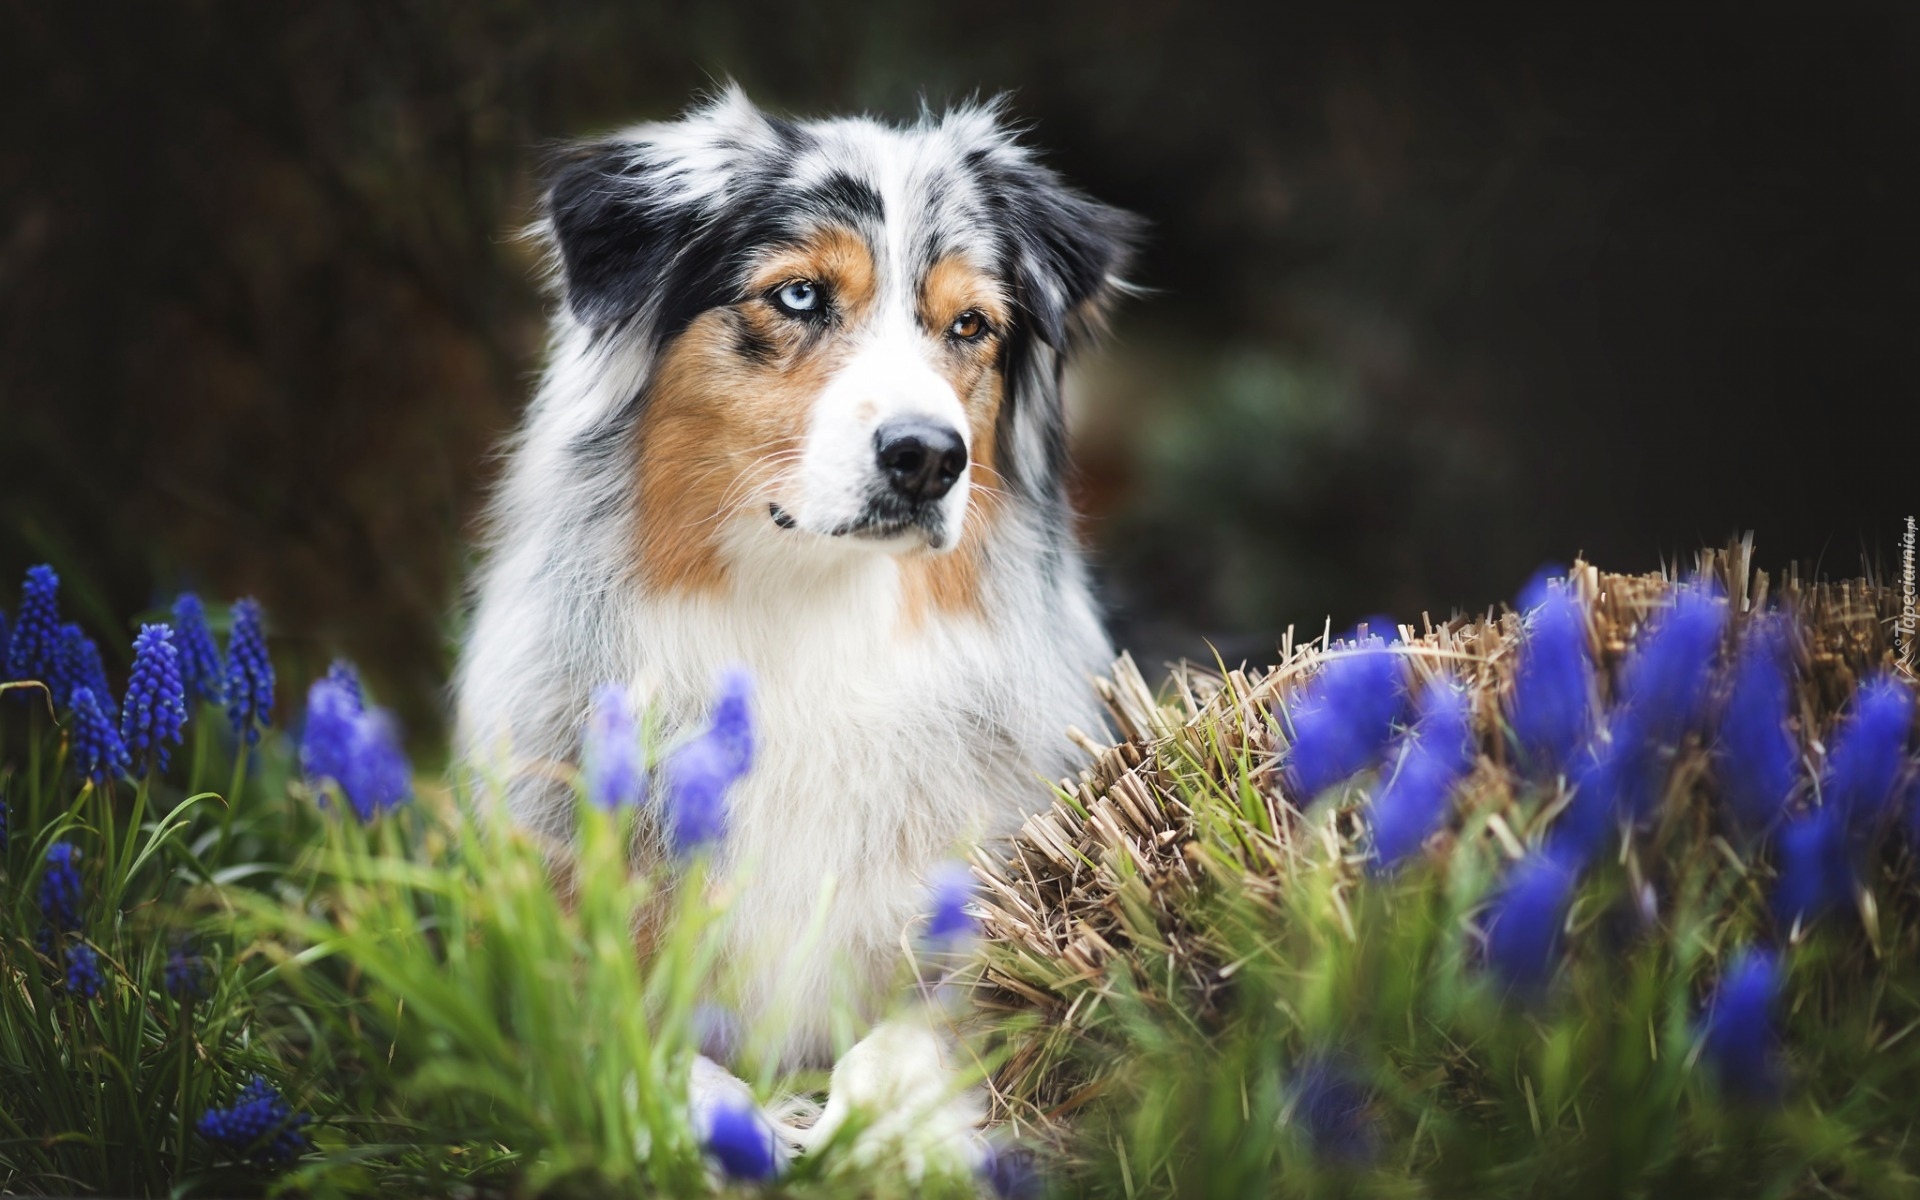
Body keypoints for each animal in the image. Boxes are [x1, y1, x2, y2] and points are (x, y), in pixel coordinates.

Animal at [449, 88, 1136, 1136]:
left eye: (970, 324)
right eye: (802, 296)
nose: (928, 457)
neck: (810, 621)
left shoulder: (994, 953)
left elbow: (894, 1056)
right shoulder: (565, 969)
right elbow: (671, 1075)